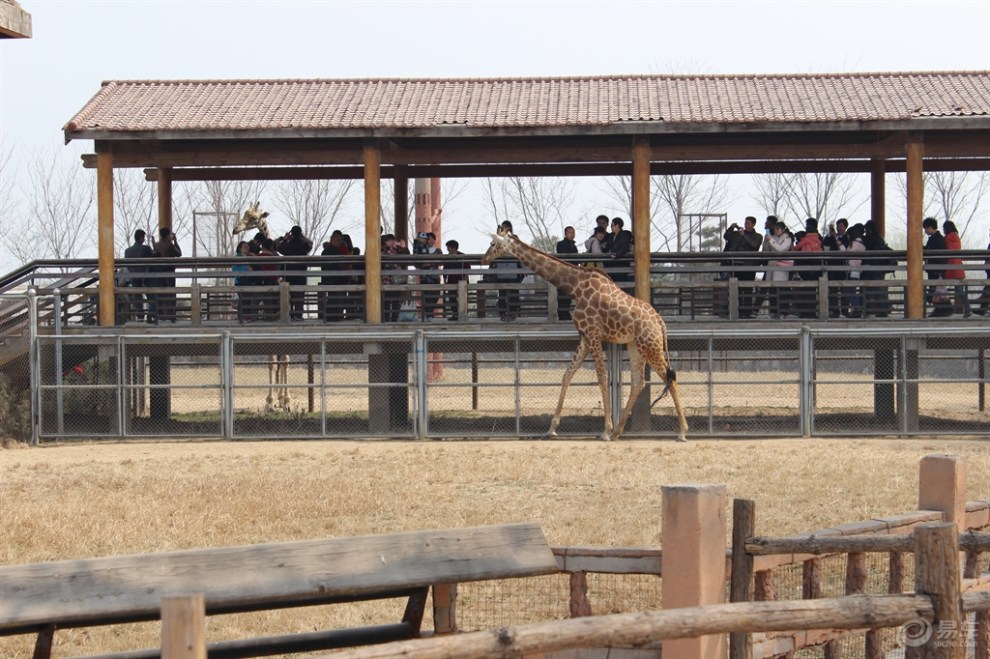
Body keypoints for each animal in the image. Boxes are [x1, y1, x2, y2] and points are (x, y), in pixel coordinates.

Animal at [232, 204, 290, 416]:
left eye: (254, 217)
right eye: (244, 214)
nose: (236, 229)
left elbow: (284, 359)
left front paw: (286, 401)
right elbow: (271, 359)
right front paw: (270, 402)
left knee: (284, 359)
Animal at [480, 227, 688, 444]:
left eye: (493, 244)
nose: (484, 258)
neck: (576, 287)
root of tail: (660, 323)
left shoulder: (593, 334)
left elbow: (602, 378)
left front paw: (605, 430)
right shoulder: (584, 337)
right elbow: (567, 375)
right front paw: (552, 429)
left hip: (650, 345)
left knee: (669, 378)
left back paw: (681, 432)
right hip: (635, 346)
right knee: (638, 382)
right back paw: (618, 432)